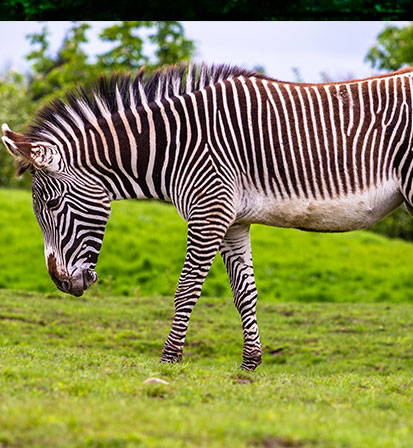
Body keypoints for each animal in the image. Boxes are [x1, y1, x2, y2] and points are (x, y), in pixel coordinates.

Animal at [0, 63, 412, 370]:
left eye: (53, 204)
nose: (60, 283)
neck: (174, 146)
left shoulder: (209, 211)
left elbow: (186, 289)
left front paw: (169, 358)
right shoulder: (234, 222)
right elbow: (245, 293)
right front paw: (250, 364)